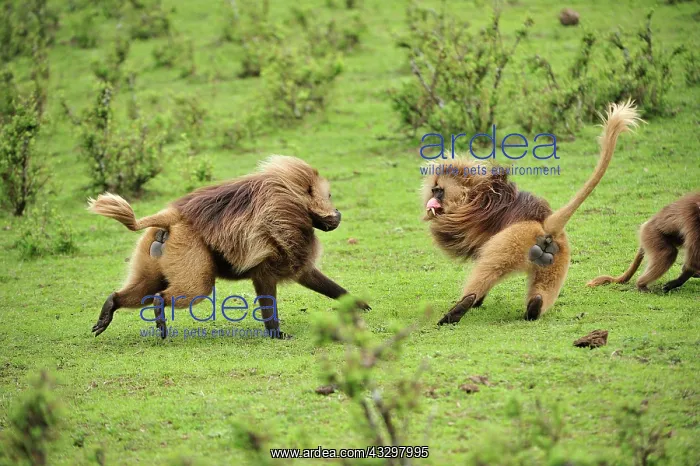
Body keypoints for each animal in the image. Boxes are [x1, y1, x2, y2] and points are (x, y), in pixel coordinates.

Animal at [87, 155, 370, 339]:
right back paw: (158, 309)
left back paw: (110, 308)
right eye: (329, 195)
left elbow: (309, 276)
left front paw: (358, 304)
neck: (292, 196)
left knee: (146, 287)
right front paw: (276, 333)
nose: (338, 215)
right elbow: (272, 285)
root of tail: (174, 217)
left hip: (156, 253)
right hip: (189, 249)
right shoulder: (281, 236)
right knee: (193, 289)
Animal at [422, 100, 641, 325]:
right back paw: (534, 307)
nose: (432, 199)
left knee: (488, 270)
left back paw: (459, 309)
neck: (473, 191)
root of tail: (546, 224)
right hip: (557, 258)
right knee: (543, 288)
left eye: (439, 191)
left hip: (514, 240)